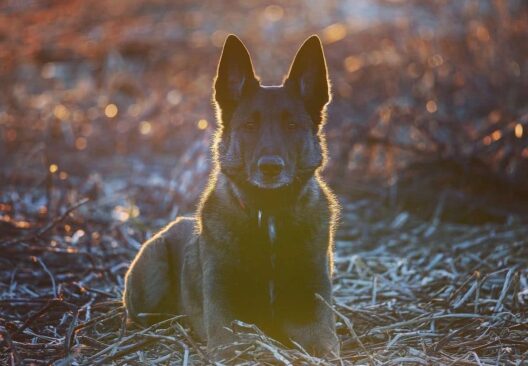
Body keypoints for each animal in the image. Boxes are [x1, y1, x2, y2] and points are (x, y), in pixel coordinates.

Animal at [122, 34, 340, 358]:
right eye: (250, 125)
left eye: (292, 125)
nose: (270, 168)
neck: (268, 214)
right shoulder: (225, 325)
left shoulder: (314, 317)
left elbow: (327, 347)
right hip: (153, 269)